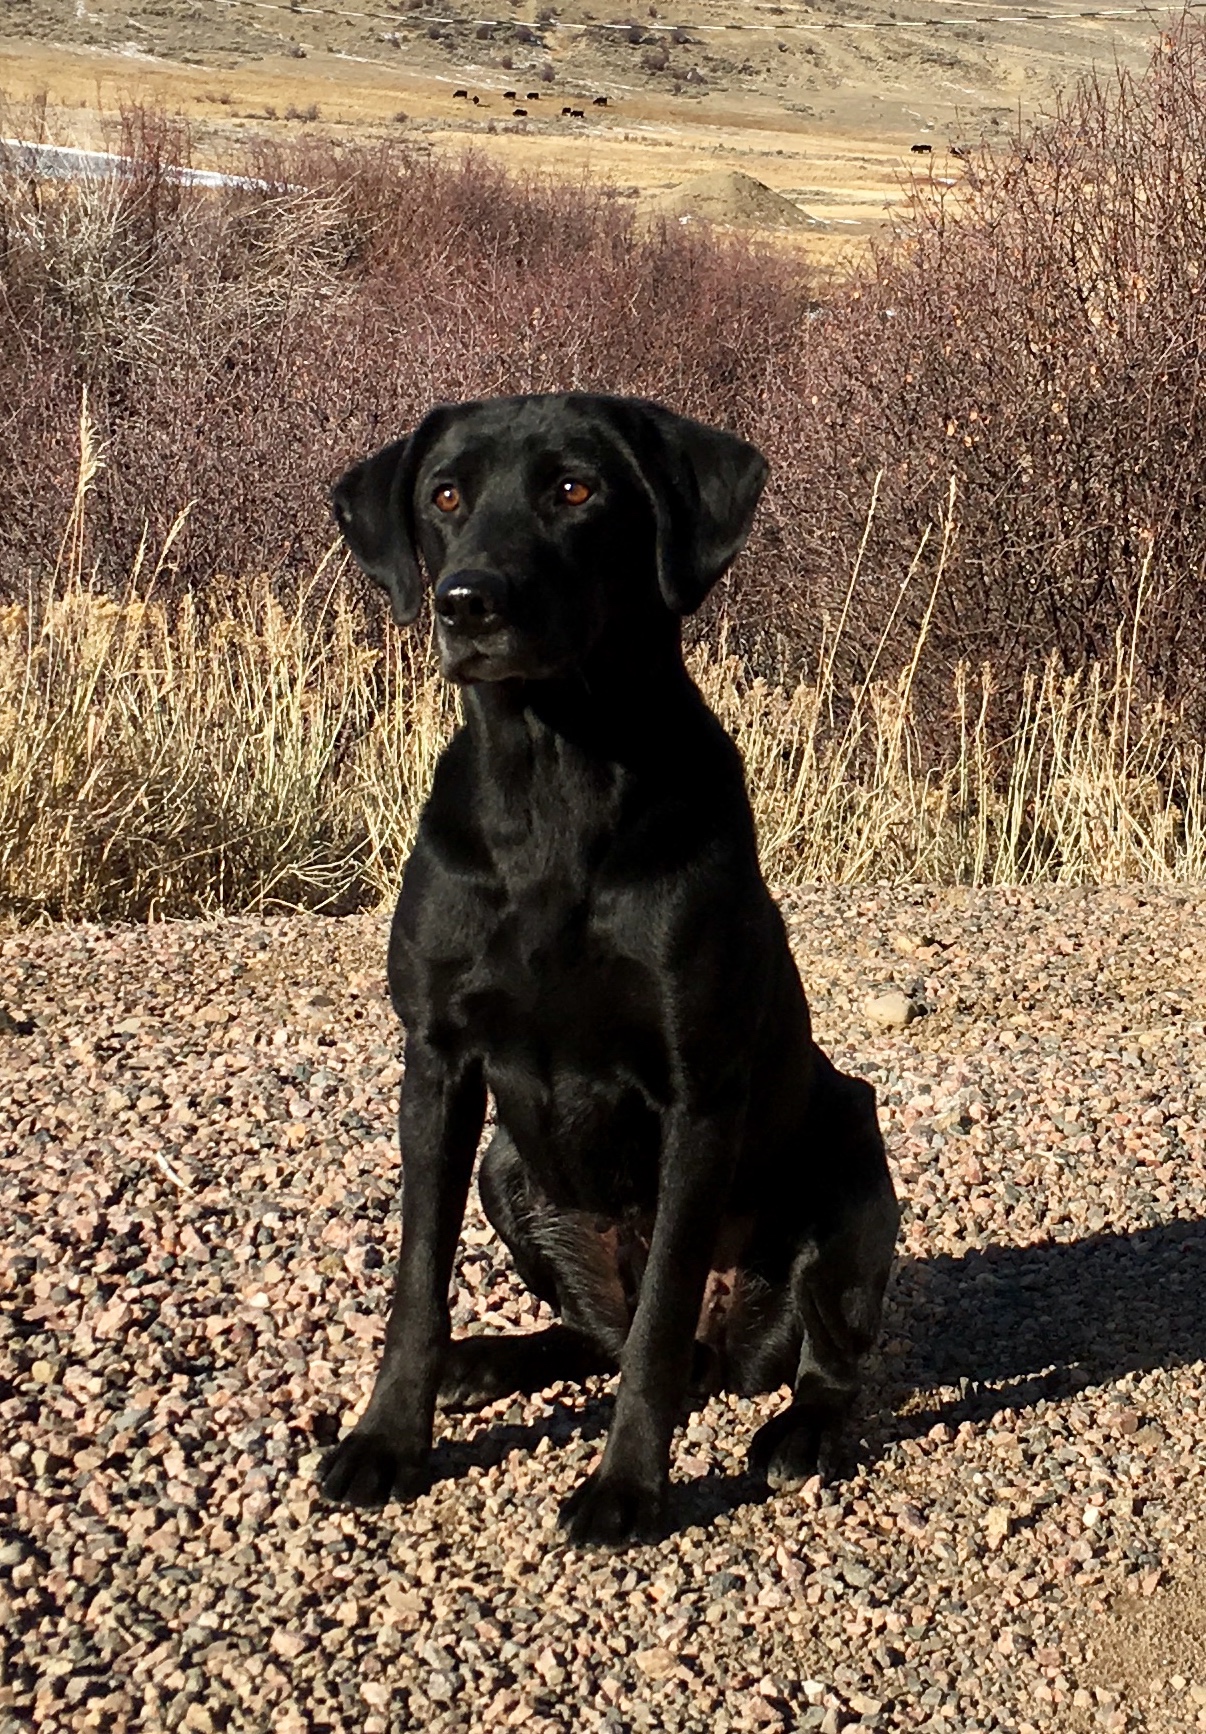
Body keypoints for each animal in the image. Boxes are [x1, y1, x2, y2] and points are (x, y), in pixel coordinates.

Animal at [315, 390, 901, 1546]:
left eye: (575, 490)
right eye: (444, 496)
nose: (466, 602)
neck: (556, 771)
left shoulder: (696, 1092)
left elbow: (663, 1318)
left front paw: (627, 1485)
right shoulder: (436, 1065)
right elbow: (416, 1284)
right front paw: (388, 1438)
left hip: (853, 1157)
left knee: (808, 1354)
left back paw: (799, 1434)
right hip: (509, 1170)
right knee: (599, 1332)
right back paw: (487, 1361)